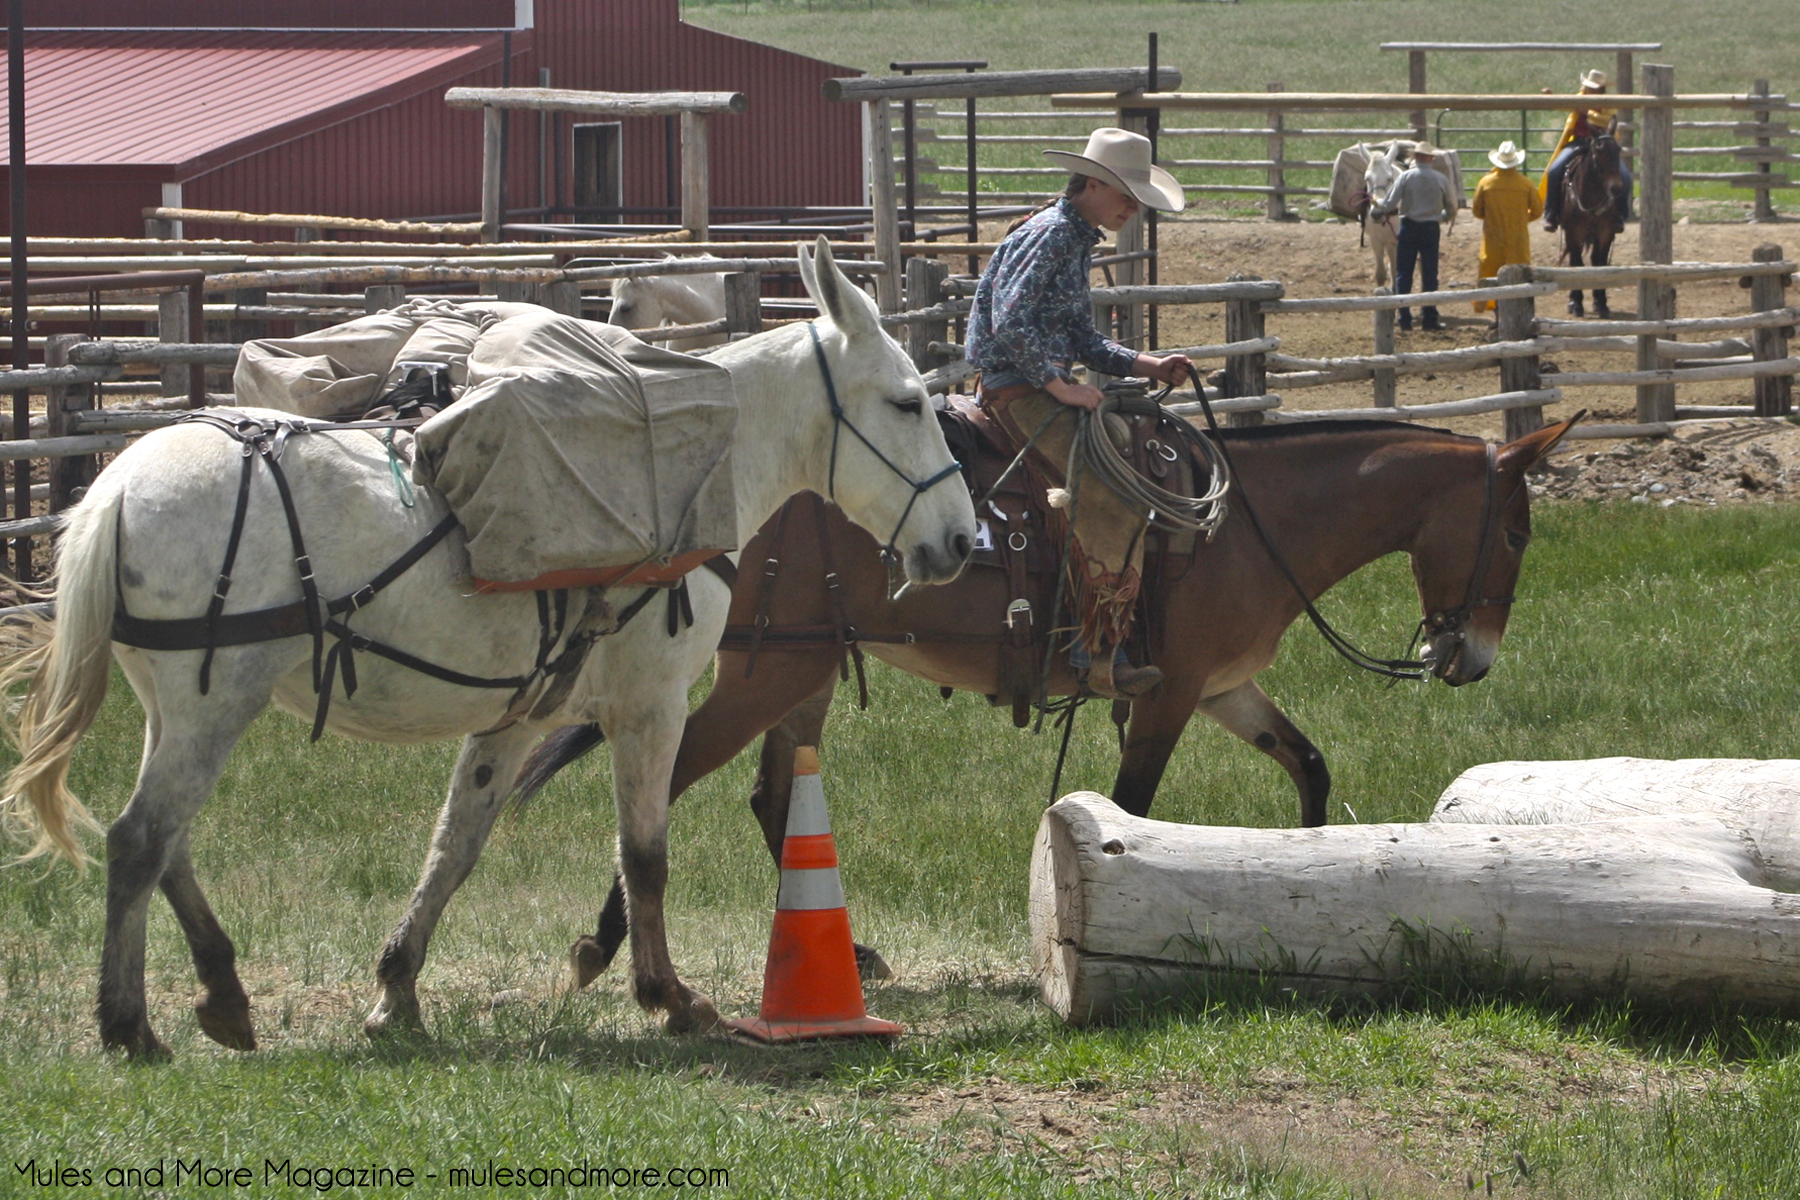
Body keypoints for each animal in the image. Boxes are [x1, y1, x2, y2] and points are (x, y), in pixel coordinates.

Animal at [0, 237, 979, 1057]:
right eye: (907, 402)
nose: (963, 540)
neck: (700, 470)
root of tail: (116, 488)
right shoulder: (651, 706)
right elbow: (644, 854)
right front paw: (667, 995)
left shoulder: (517, 716)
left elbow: (454, 848)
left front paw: (398, 989)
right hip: (213, 706)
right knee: (141, 839)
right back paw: (130, 1024)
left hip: (177, 710)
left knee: (169, 845)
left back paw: (224, 995)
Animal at [1548, 126, 1634, 316]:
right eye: (1597, 151)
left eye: (1618, 150)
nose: (1616, 188)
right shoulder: (1573, 233)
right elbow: (1577, 264)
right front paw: (1576, 303)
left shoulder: (1606, 234)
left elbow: (1599, 264)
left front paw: (1601, 303)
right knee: (1573, 261)